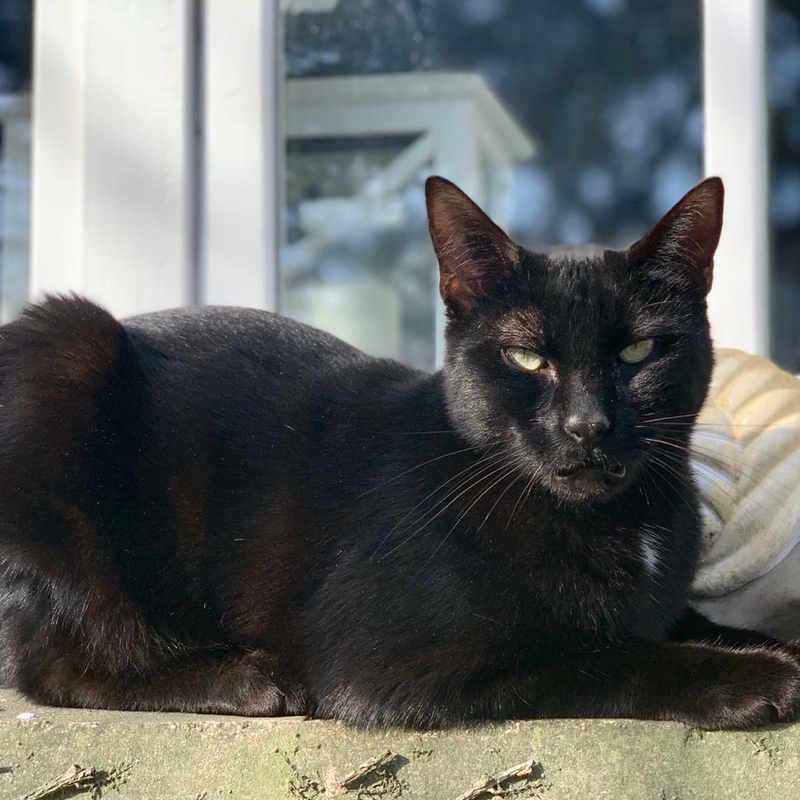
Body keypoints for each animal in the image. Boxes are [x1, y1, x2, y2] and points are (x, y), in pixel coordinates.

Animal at [0, 177, 796, 732]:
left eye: (638, 351)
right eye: (526, 357)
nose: (587, 425)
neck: (620, 523)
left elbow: (684, 622)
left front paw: (767, 646)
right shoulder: (391, 664)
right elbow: (602, 655)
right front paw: (755, 681)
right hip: (68, 351)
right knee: (59, 663)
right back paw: (246, 680)